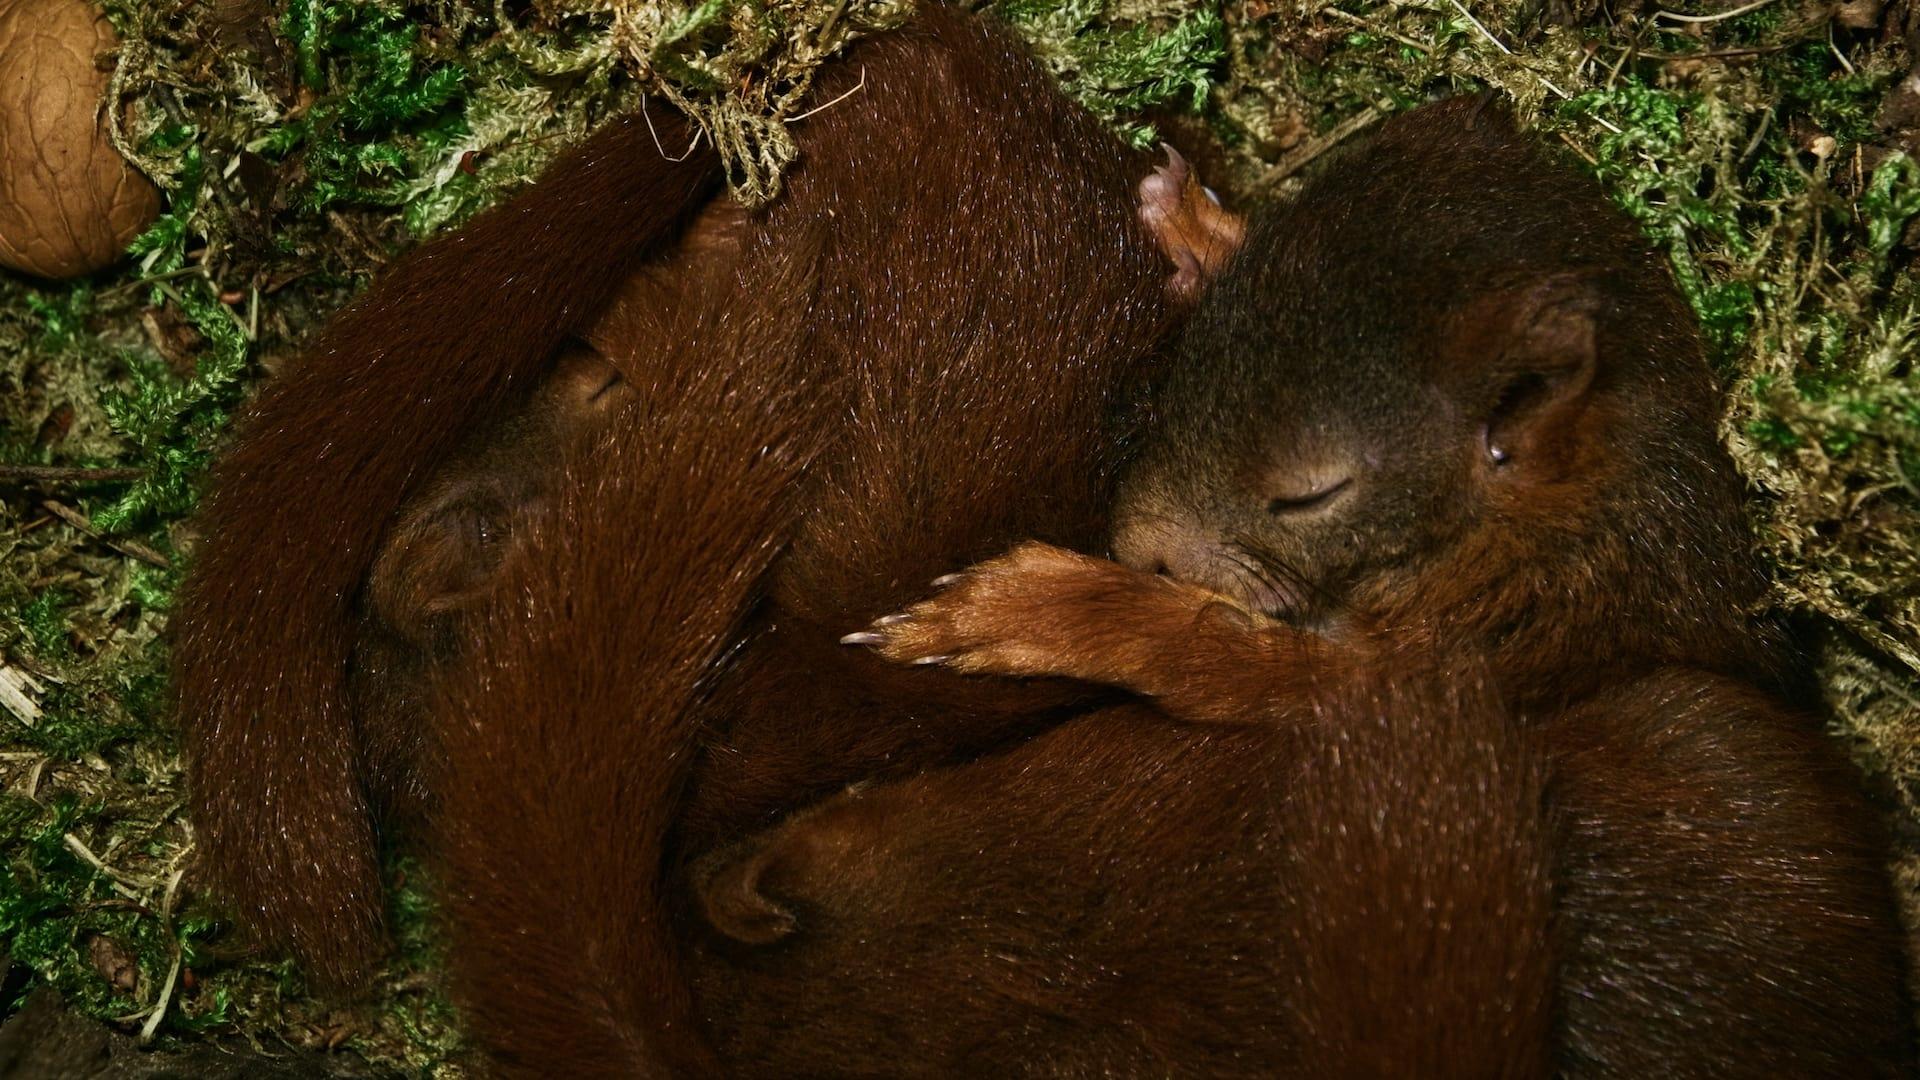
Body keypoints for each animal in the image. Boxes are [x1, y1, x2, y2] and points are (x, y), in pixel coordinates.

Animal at [695, 96, 1920, 1068]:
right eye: (1184, 368)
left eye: (1310, 493)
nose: (1134, 541)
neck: (1549, 527)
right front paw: (1200, 225)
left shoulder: (1478, 657)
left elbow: (1232, 665)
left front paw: (1028, 608)